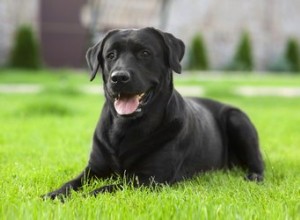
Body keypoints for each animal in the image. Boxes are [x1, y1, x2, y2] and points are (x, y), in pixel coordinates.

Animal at [43, 27, 264, 199]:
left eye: (145, 53)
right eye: (110, 55)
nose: (119, 77)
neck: (125, 128)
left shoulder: (151, 178)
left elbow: (106, 188)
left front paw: (84, 197)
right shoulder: (94, 169)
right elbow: (72, 182)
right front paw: (55, 194)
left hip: (237, 120)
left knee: (259, 161)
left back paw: (254, 176)